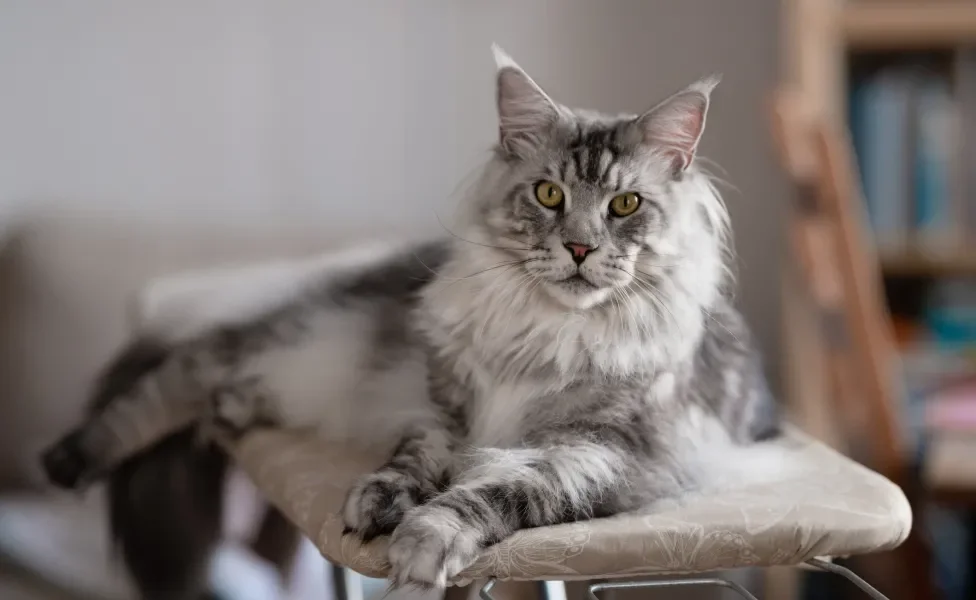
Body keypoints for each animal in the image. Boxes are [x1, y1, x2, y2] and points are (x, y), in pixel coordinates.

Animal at [42, 45, 780, 596]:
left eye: (626, 205)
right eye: (549, 195)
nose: (579, 248)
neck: (546, 333)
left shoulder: (602, 454)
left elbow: (498, 491)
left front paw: (424, 540)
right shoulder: (443, 410)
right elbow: (410, 462)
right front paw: (379, 502)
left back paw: (229, 411)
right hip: (303, 342)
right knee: (179, 375)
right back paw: (70, 458)